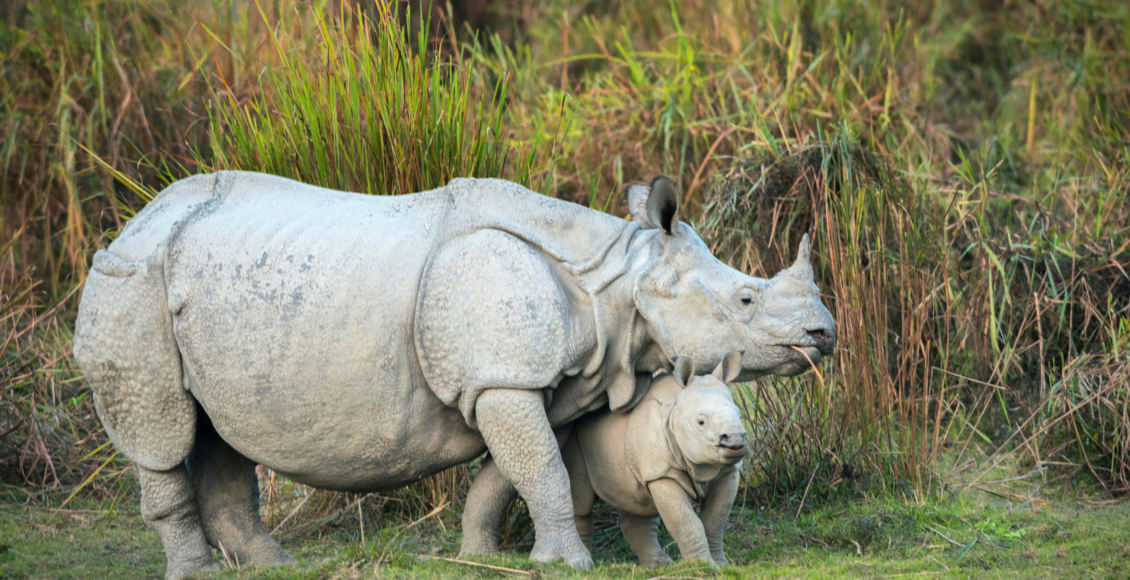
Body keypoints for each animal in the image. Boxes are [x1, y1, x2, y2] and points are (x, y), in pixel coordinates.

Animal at [73, 171, 834, 578]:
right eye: (746, 299)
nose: (824, 335)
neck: (620, 276)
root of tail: (133, 221)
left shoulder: (530, 383)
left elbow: (507, 472)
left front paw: (482, 554)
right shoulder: (504, 377)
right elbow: (541, 468)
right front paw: (568, 565)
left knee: (219, 430)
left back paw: (273, 566)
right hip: (130, 284)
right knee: (162, 433)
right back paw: (197, 571)